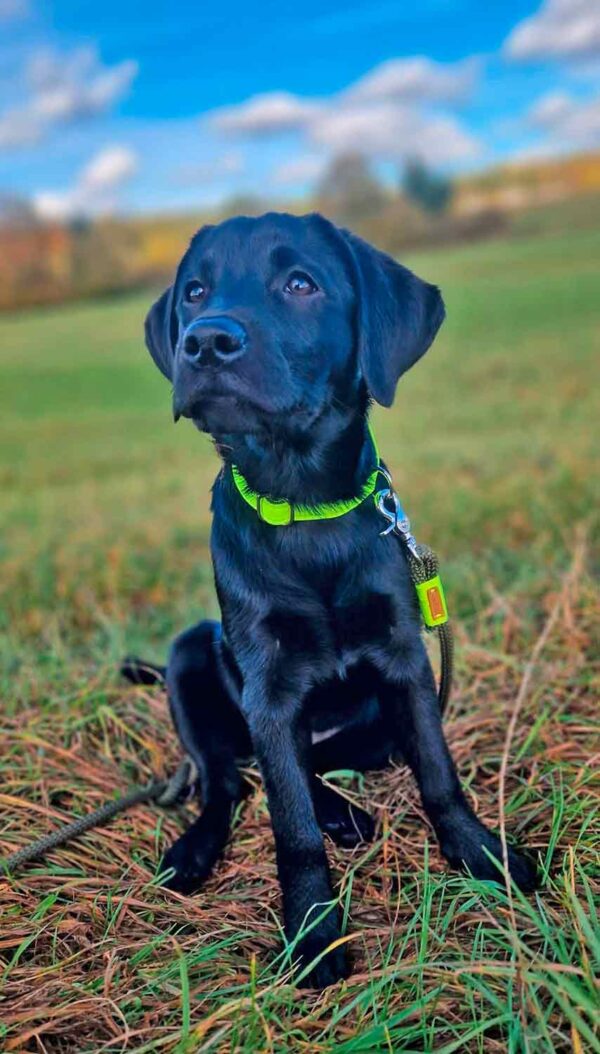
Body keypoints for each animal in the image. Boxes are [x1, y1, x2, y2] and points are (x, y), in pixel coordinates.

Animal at [133, 211, 535, 986]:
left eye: (300, 284)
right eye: (194, 291)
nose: (205, 340)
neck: (303, 507)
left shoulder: (406, 660)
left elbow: (438, 772)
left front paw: (482, 856)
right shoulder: (268, 686)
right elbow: (289, 826)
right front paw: (315, 933)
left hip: (370, 727)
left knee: (304, 765)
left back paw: (344, 813)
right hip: (191, 654)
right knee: (233, 777)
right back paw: (202, 846)